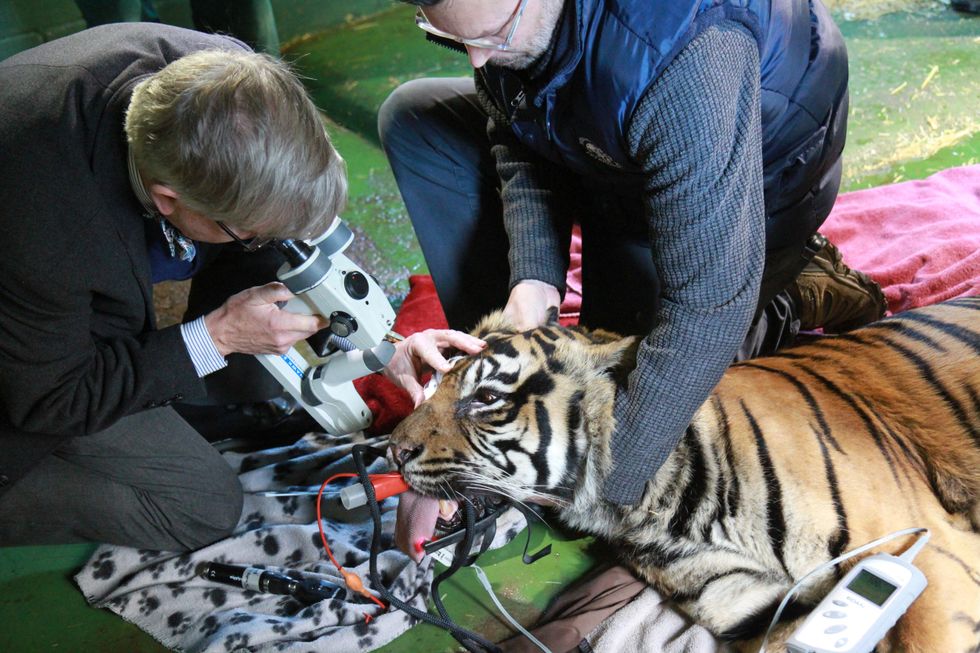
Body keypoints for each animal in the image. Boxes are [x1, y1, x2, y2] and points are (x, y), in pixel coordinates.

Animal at [389, 296, 980, 652]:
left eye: (486, 398)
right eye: (429, 385)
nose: (393, 450)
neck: (662, 510)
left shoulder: (930, 559)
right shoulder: (746, 604)